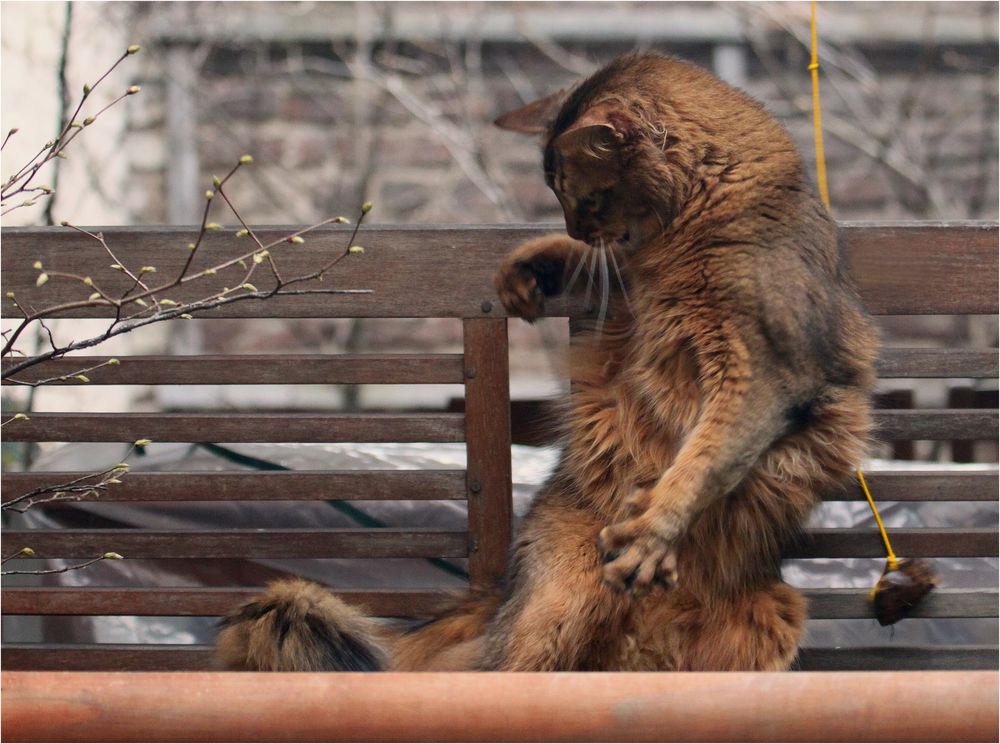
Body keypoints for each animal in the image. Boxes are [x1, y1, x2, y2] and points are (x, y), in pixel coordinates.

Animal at [217, 49, 876, 672]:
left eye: (586, 196)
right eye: (561, 200)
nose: (575, 228)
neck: (702, 217)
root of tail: (502, 593)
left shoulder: (761, 371)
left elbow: (706, 459)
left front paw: (653, 530)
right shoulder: (635, 286)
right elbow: (607, 269)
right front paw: (530, 264)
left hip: (769, 617)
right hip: (564, 595)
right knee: (503, 673)